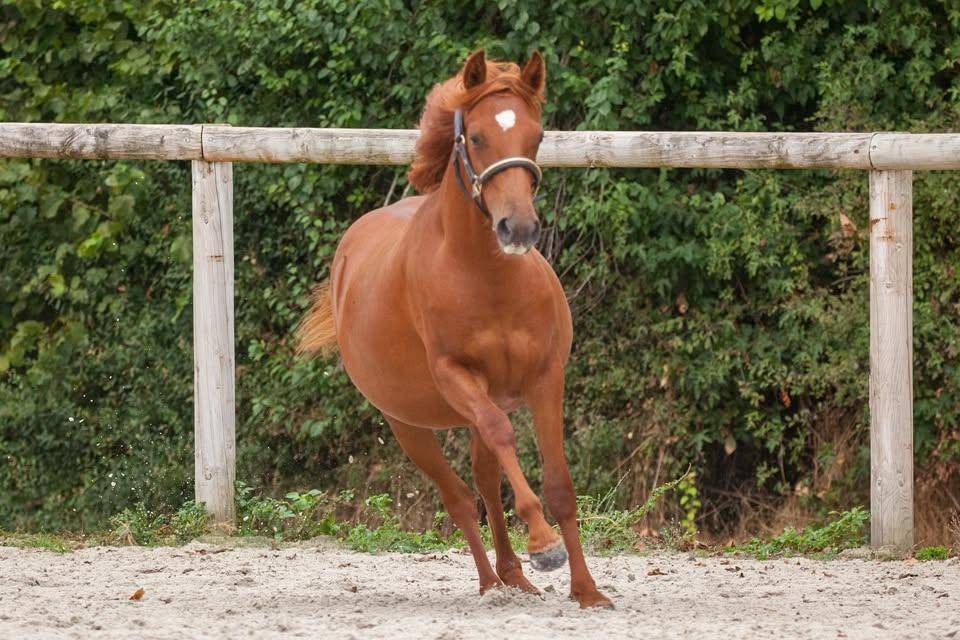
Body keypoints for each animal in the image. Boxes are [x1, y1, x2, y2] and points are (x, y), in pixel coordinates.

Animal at [298, 49, 612, 609]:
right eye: (478, 137)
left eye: (537, 136)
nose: (519, 228)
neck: (487, 277)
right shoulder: (456, 377)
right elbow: (502, 437)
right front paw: (544, 544)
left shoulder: (545, 378)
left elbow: (558, 483)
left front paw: (587, 590)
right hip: (408, 424)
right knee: (461, 497)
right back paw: (491, 582)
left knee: (484, 480)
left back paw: (514, 576)